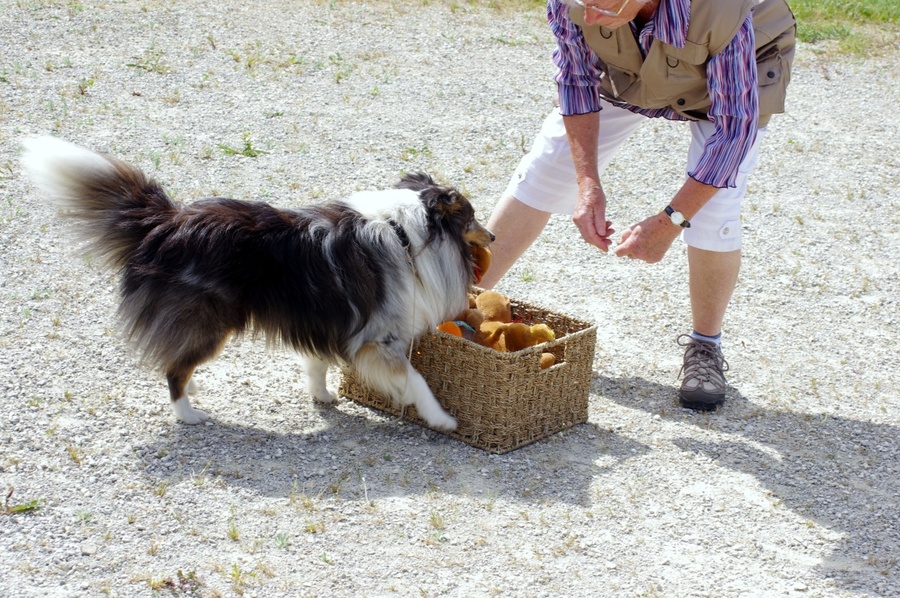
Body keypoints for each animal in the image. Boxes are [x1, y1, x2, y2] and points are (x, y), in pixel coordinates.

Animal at [21, 137, 496, 432]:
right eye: (472, 217)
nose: (492, 236)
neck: (405, 234)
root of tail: (166, 223)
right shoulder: (379, 337)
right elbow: (416, 381)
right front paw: (442, 419)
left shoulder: (327, 319)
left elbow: (316, 363)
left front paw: (322, 396)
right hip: (209, 323)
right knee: (174, 370)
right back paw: (188, 414)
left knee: (177, 360)